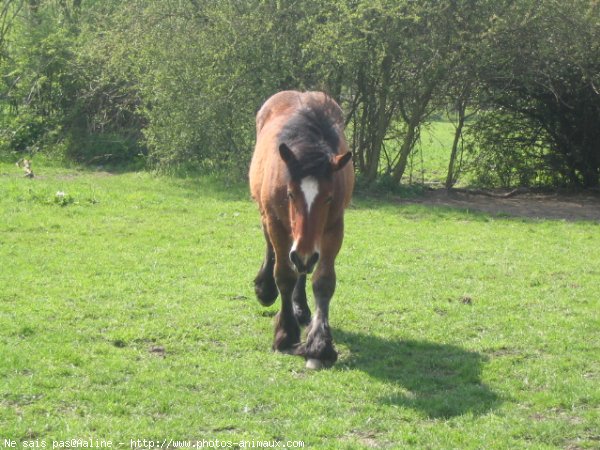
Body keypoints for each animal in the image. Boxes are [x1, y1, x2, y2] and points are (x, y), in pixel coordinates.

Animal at [250, 91, 354, 370]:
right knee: (272, 247)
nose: (304, 254)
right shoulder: (277, 223)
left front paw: (319, 345)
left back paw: (300, 307)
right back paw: (265, 289)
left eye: (328, 198)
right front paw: (285, 334)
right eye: (289, 194)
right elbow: (284, 275)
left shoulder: (333, 228)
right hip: (269, 218)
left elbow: (323, 281)